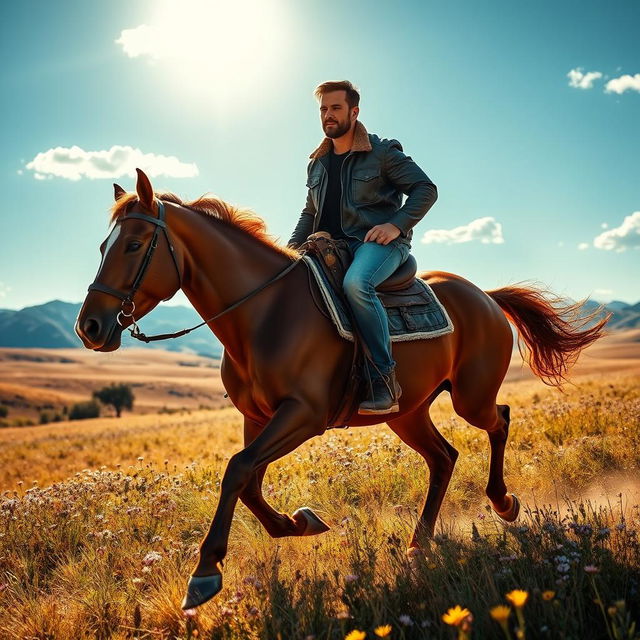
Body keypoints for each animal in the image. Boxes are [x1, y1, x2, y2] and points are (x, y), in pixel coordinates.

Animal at [76, 170, 608, 608]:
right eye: (102, 247)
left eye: (133, 245)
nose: (90, 327)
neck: (264, 313)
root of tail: (486, 296)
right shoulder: (257, 417)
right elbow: (248, 481)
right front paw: (300, 523)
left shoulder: (305, 415)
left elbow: (237, 471)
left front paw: (206, 572)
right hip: (407, 413)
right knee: (444, 457)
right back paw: (420, 543)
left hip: (469, 398)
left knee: (500, 420)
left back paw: (502, 502)